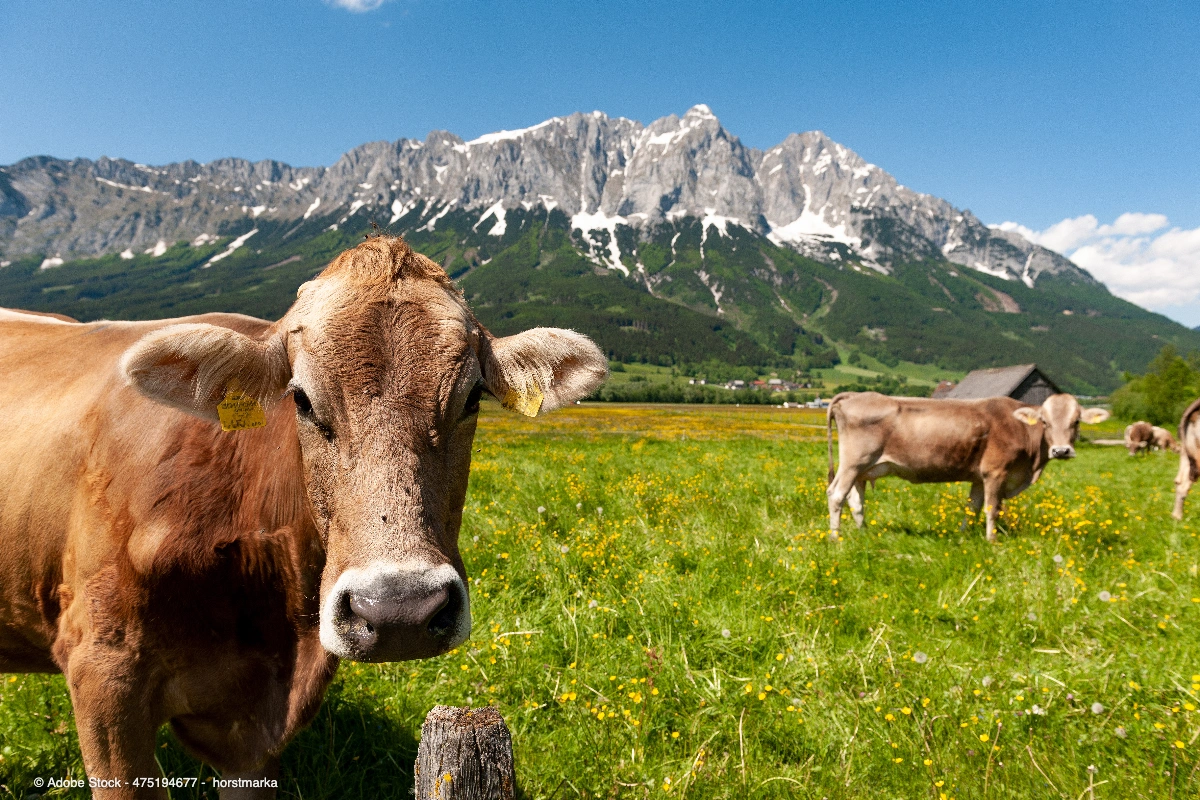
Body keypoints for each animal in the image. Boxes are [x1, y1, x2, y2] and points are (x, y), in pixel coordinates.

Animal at [826, 391, 1110, 541]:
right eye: (1045, 422)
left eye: (1076, 422)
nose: (1061, 450)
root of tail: (854, 395)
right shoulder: (995, 473)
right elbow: (992, 509)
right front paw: (992, 541)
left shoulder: (978, 478)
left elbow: (971, 508)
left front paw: (964, 536)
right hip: (853, 463)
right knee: (836, 494)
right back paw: (835, 538)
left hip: (862, 470)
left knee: (856, 501)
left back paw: (863, 534)